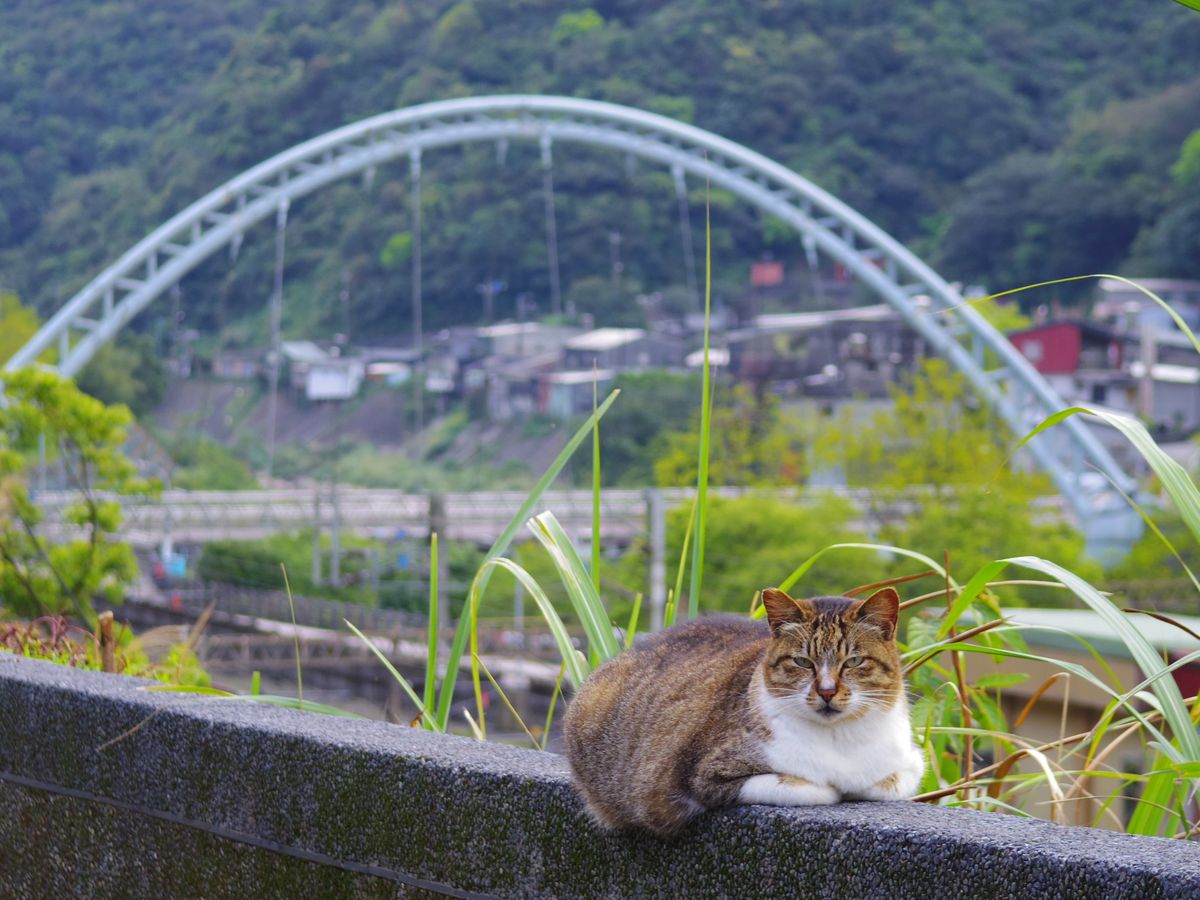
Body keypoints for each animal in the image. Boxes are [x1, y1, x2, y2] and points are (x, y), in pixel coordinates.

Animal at [562, 586, 925, 836]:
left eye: (853, 661)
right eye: (802, 662)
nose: (826, 691)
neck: (839, 739)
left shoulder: (911, 763)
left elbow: (888, 782)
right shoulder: (706, 776)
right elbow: (809, 787)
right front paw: (832, 787)